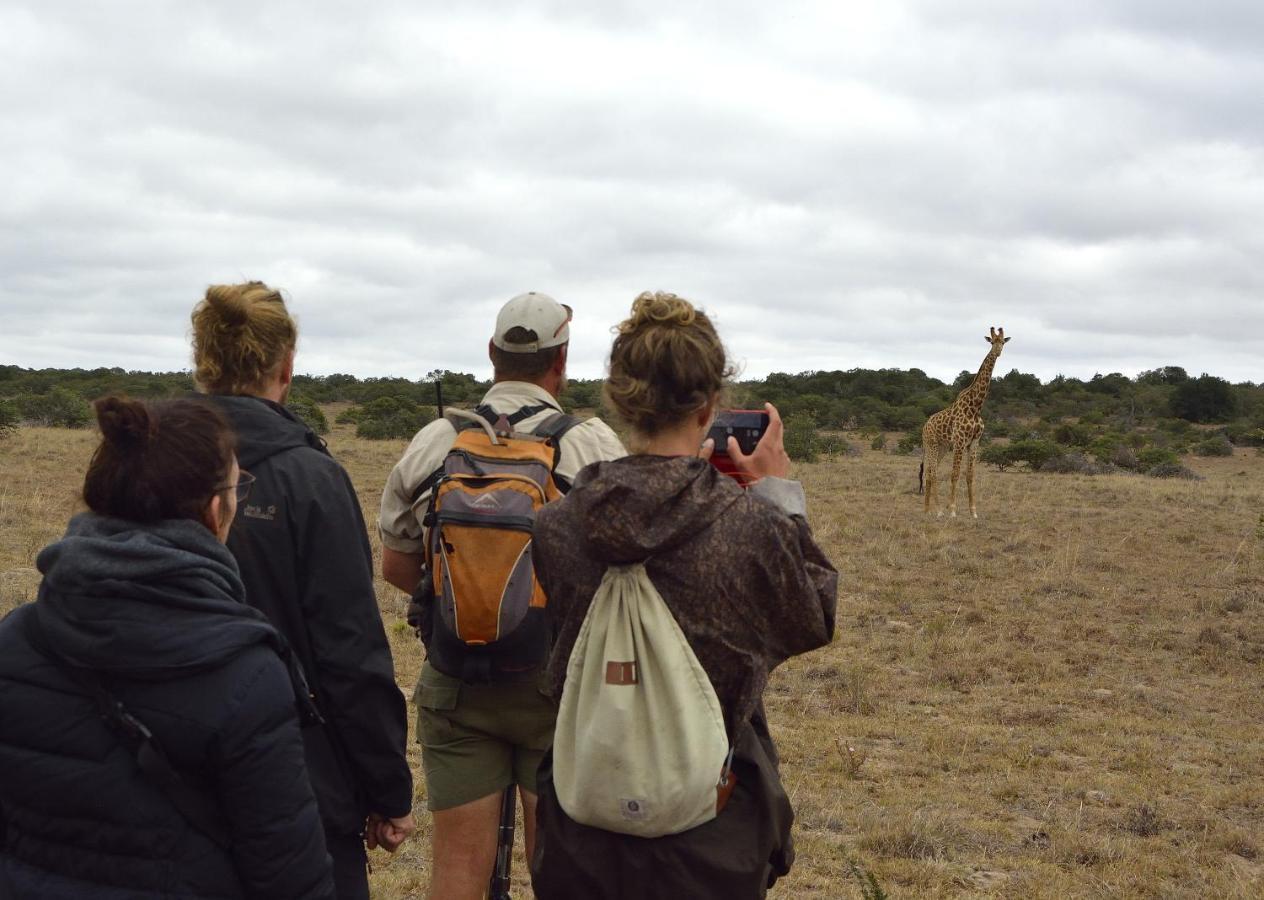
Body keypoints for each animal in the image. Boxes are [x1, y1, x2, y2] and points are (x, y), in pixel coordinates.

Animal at [920, 326, 1006, 515]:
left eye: (1003, 342)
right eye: (992, 341)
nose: (998, 352)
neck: (975, 406)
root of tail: (924, 426)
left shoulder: (974, 442)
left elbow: (969, 475)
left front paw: (973, 511)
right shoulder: (960, 441)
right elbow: (955, 474)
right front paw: (952, 510)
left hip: (943, 447)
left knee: (929, 472)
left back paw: (927, 509)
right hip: (931, 444)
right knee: (933, 473)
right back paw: (938, 510)